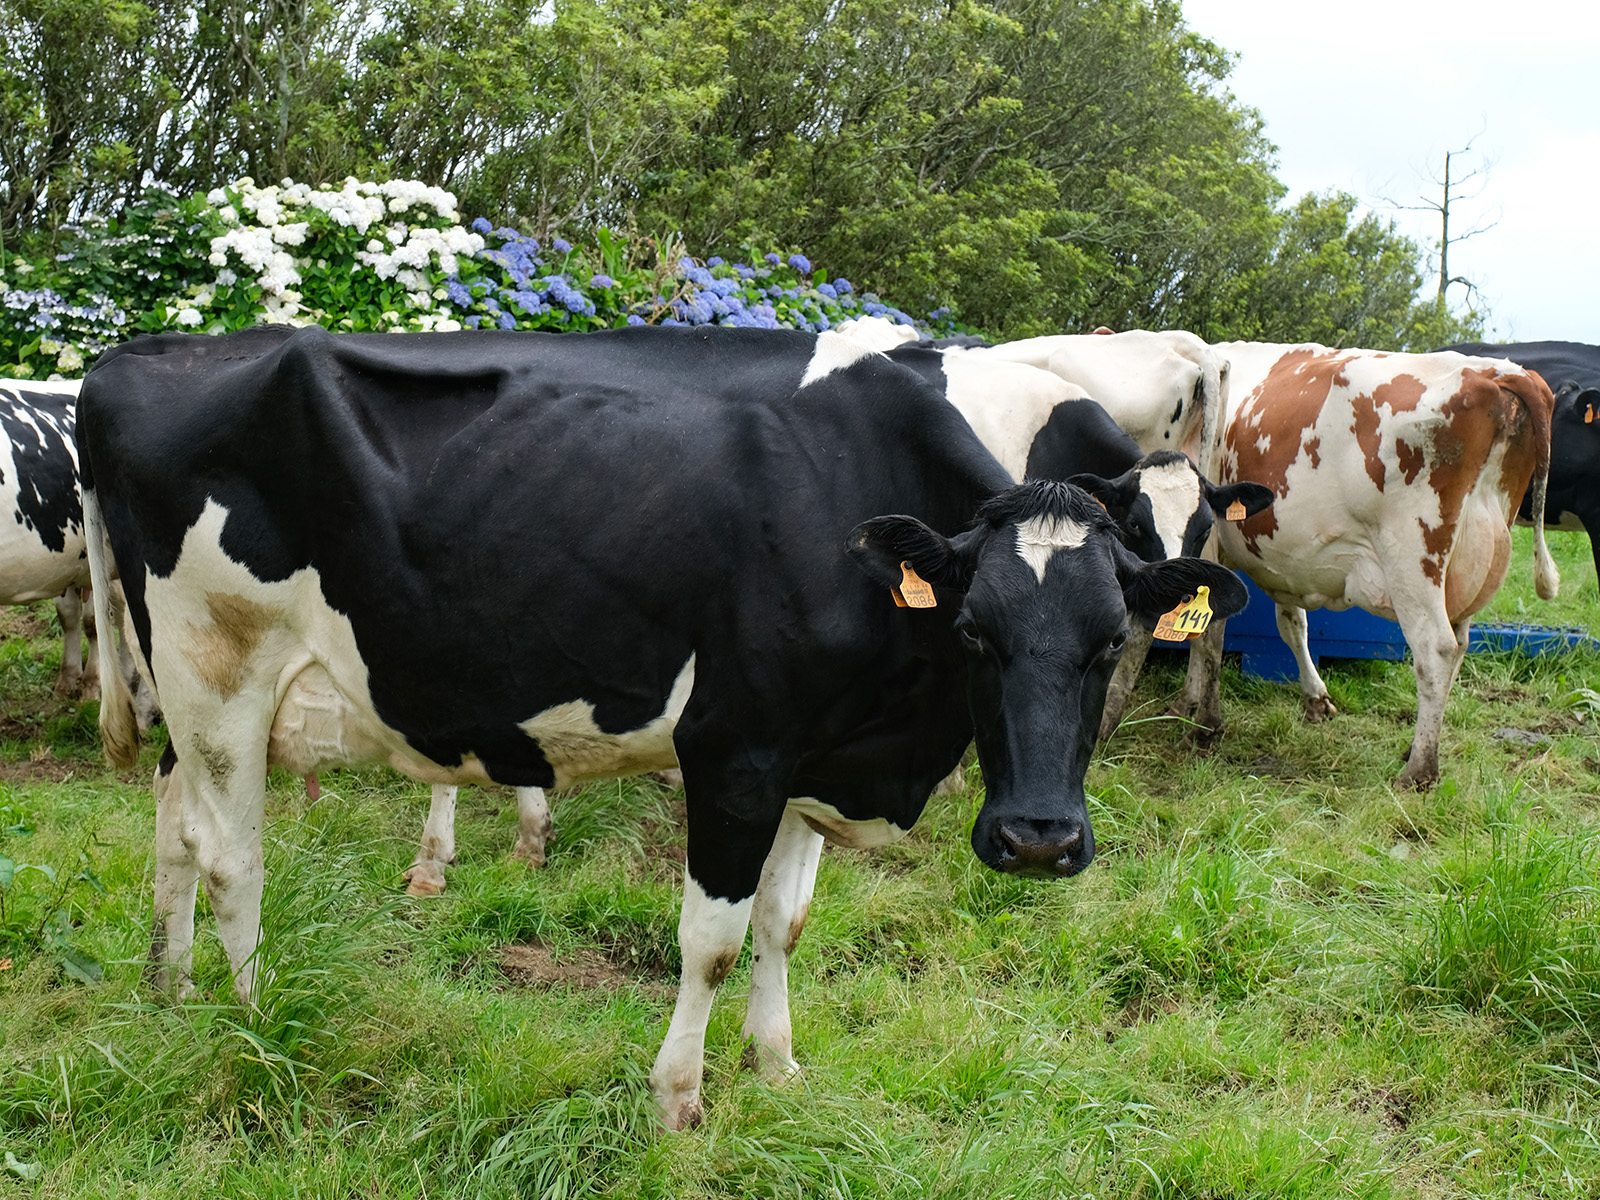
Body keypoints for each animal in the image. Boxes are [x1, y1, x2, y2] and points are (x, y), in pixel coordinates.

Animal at [79, 324, 1250, 1130]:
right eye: (972, 633)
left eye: (1111, 636)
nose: (1037, 840)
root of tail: (135, 357)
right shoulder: (736, 751)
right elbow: (714, 940)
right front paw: (678, 1099)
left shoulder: (811, 755)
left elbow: (785, 925)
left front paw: (778, 1069)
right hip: (218, 668)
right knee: (231, 858)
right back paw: (252, 1023)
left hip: (191, 696)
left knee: (172, 829)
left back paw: (167, 990)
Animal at [1159, 342, 1558, 788]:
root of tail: (1496, 371)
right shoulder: (1287, 561)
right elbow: (1290, 625)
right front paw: (1312, 699)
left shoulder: (1205, 541)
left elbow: (1205, 634)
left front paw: (1201, 725)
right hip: (1469, 566)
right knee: (1459, 647)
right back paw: (1416, 748)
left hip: (1412, 557)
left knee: (1436, 649)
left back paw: (1419, 769)